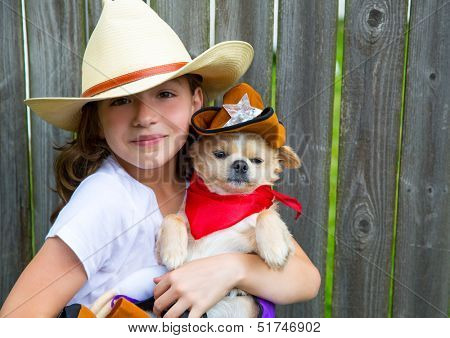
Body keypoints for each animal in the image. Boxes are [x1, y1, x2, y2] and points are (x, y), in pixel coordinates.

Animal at [156, 132, 302, 316]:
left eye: (257, 160)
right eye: (219, 154)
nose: (240, 164)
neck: (227, 201)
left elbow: (266, 214)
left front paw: (275, 249)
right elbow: (172, 217)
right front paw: (173, 252)